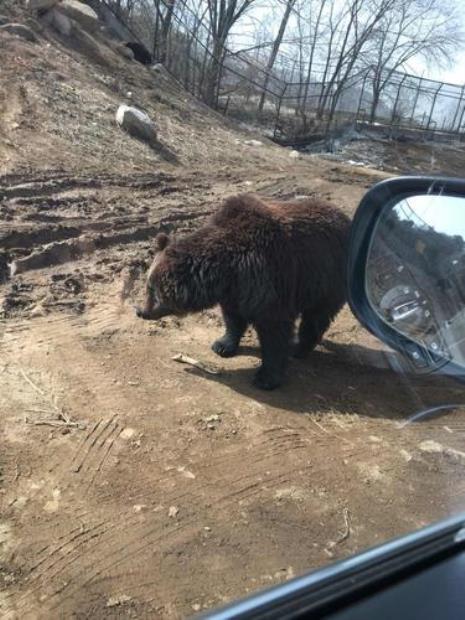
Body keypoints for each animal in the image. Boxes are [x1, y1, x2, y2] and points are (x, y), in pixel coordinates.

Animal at [136, 193, 350, 388]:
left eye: (152, 289)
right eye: (148, 285)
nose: (140, 311)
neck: (228, 271)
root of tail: (344, 217)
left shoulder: (270, 279)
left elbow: (274, 331)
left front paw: (266, 377)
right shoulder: (235, 293)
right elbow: (233, 318)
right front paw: (222, 345)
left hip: (326, 278)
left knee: (316, 317)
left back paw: (299, 348)